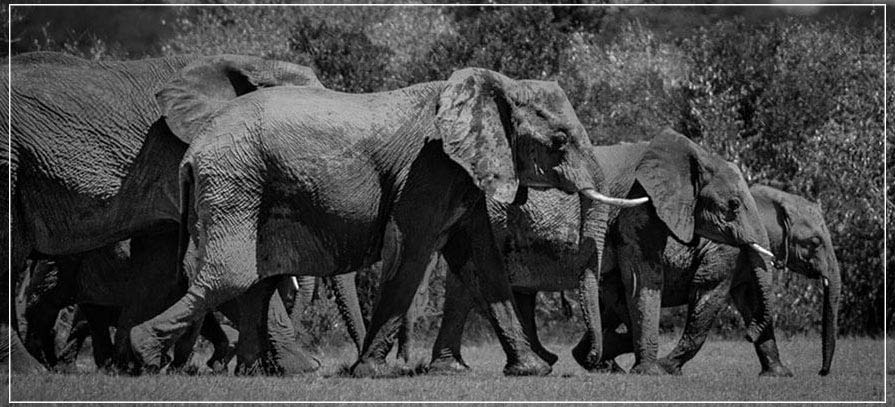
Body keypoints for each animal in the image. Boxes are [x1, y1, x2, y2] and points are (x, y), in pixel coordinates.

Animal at [6, 51, 322, 373]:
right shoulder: (197, 155)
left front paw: (135, 365)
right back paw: (31, 369)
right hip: (10, 159)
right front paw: (300, 369)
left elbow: (158, 264)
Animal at [129, 67, 646, 377]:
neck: (492, 83)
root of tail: (194, 150)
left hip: (245, 182)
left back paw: (253, 375)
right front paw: (370, 372)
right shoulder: (430, 167)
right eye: (559, 141)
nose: (589, 360)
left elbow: (480, 260)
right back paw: (144, 354)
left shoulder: (461, 173)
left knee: (252, 280)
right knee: (231, 274)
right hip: (234, 179)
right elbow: (412, 250)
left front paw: (531, 372)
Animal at [425, 130, 782, 376]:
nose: (748, 335)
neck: (692, 154)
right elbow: (646, 280)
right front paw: (652, 371)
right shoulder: (638, 210)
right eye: (732, 205)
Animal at [591, 184, 840, 376]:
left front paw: (779, 375)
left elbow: (753, 304)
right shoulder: (727, 250)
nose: (821, 372)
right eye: (815, 242)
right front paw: (666, 368)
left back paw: (605, 365)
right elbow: (710, 295)